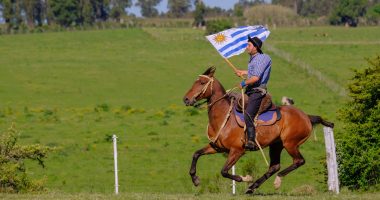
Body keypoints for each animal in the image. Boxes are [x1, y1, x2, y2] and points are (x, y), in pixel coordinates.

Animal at [181, 67, 332, 194]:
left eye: (202, 82)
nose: (186, 99)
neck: (224, 117)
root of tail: (306, 116)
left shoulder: (237, 151)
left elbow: (224, 171)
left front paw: (246, 178)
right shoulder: (217, 147)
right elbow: (196, 154)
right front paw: (195, 180)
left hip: (290, 144)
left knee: (298, 161)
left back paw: (276, 181)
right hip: (276, 145)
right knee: (274, 166)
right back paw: (252, 187)